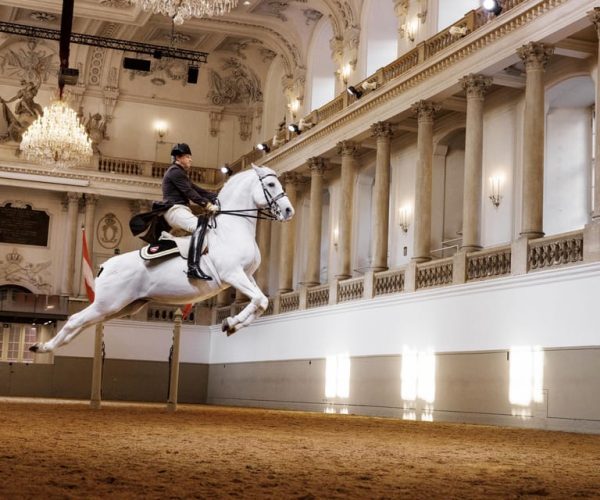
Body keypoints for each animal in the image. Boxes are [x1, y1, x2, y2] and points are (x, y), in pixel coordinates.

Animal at [29, 164, 292, 352]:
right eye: (270, 183)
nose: (289, 211)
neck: (232, 228)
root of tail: (105, 266)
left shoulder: (246, 276)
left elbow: (260, 302)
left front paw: (231, 324)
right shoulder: (234, 275)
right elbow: (259, 300)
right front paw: (231, 322)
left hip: (120, 307)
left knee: (83, 324)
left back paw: (44, 346)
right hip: (109, 303)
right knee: (75, 320)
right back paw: (43, 347)